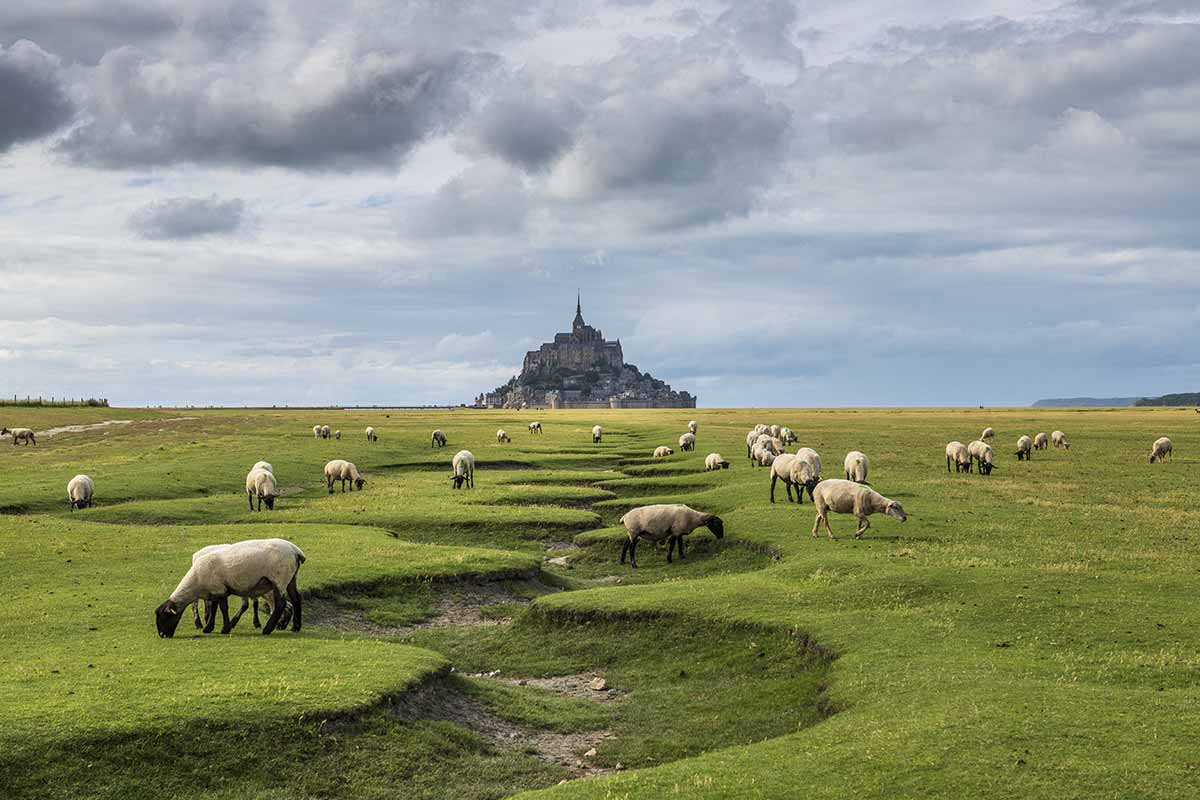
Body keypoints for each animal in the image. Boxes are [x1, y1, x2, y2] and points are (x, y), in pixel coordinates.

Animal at [152, 537, 304, 638]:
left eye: (164, 616)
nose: (162, 635)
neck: (196, 582)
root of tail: (295, 550)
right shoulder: (214, 590)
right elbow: (214, 608)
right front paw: (208, 628)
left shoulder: (220, 589)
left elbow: (223, 608)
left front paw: (225, 629)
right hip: (291, 577)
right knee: (296, 599)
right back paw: (295, 627)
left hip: (280, 578)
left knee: (280, 604)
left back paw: (267, 629)